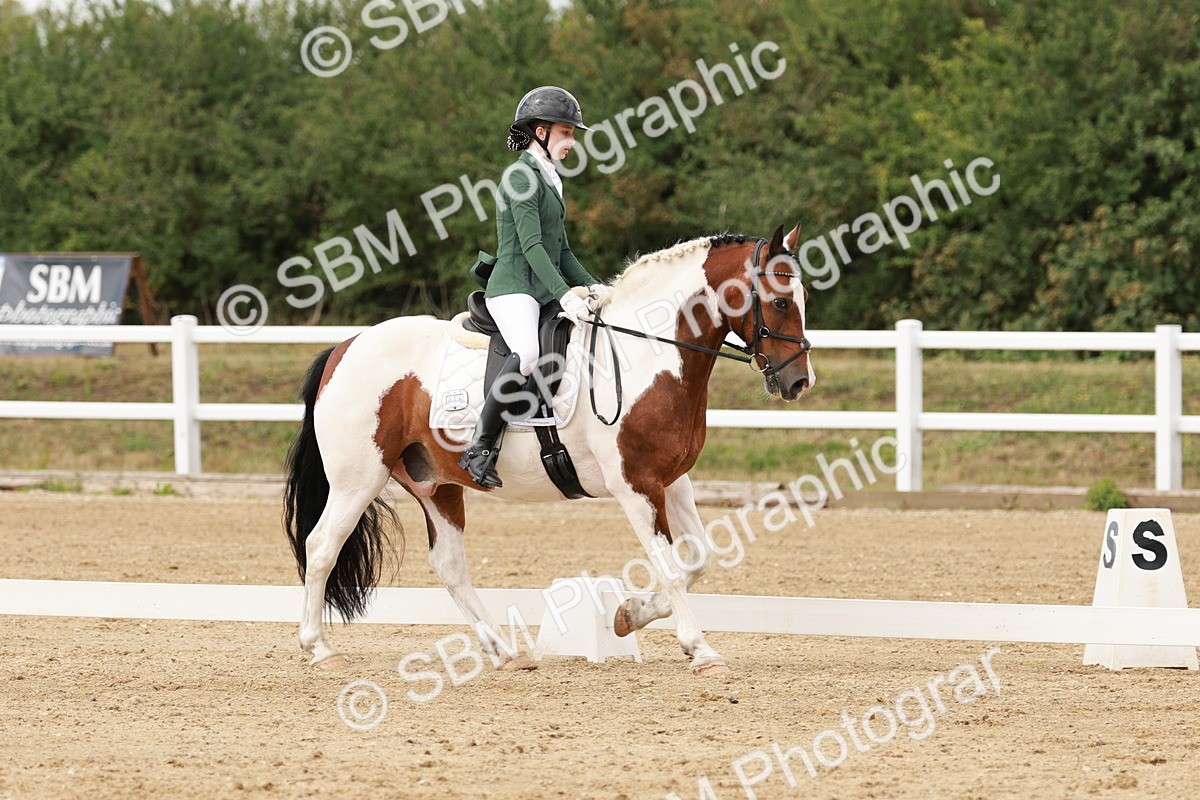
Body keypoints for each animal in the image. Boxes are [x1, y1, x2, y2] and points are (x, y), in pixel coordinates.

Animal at [283, 223, 815, 676]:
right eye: (780, 302)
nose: (798, 382)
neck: (651, 353)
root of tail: (344, 347)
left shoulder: (672, 480)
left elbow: (697, 560)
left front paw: (628, 615)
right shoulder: (636, 484)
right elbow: (668, 565)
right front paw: (700, 649)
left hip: (436, 484)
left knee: (449, 565)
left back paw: (503, 651)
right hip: (358, 479)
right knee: (322, 545)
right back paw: (319, 649)